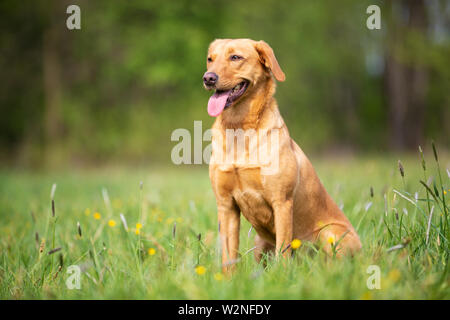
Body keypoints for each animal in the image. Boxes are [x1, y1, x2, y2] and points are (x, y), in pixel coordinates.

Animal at [204, 38, 362, 272]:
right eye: (210, 59)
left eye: (235, 57)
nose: (208, 78)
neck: (239, 128)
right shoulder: (226, 205)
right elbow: (228, 255)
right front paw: (227, 278)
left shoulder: (282, 202)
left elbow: (283, 250)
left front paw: (282, 275)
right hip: (260, 242)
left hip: (329, 233)